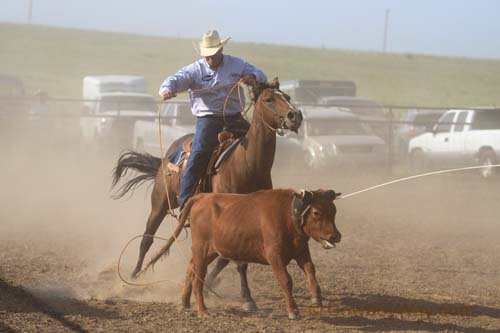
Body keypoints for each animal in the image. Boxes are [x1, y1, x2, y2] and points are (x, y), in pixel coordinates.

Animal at [112, 80, 300, 308]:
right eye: (268, 99)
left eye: (287, 97)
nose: (295, 115)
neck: (246, 165)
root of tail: (169, 153)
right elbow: (236, 261)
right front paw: (247, 298)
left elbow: (228, 257)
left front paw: (213, 283)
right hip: (160, 203)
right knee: (146, 239)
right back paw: (134, 276)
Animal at [143, 188, 342, 318]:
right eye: (316, 212)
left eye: (334, 211)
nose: (336, 236)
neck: (288, 215)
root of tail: (202, 197)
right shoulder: (274, 255)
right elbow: (286, 280)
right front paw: (293, 310)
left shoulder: (300, 250)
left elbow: (310, 270)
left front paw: (316, 297)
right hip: (201, 248)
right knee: (198, 277)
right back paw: (203, 311)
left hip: (211, 251)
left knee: (191, 269)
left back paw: (185, 302)